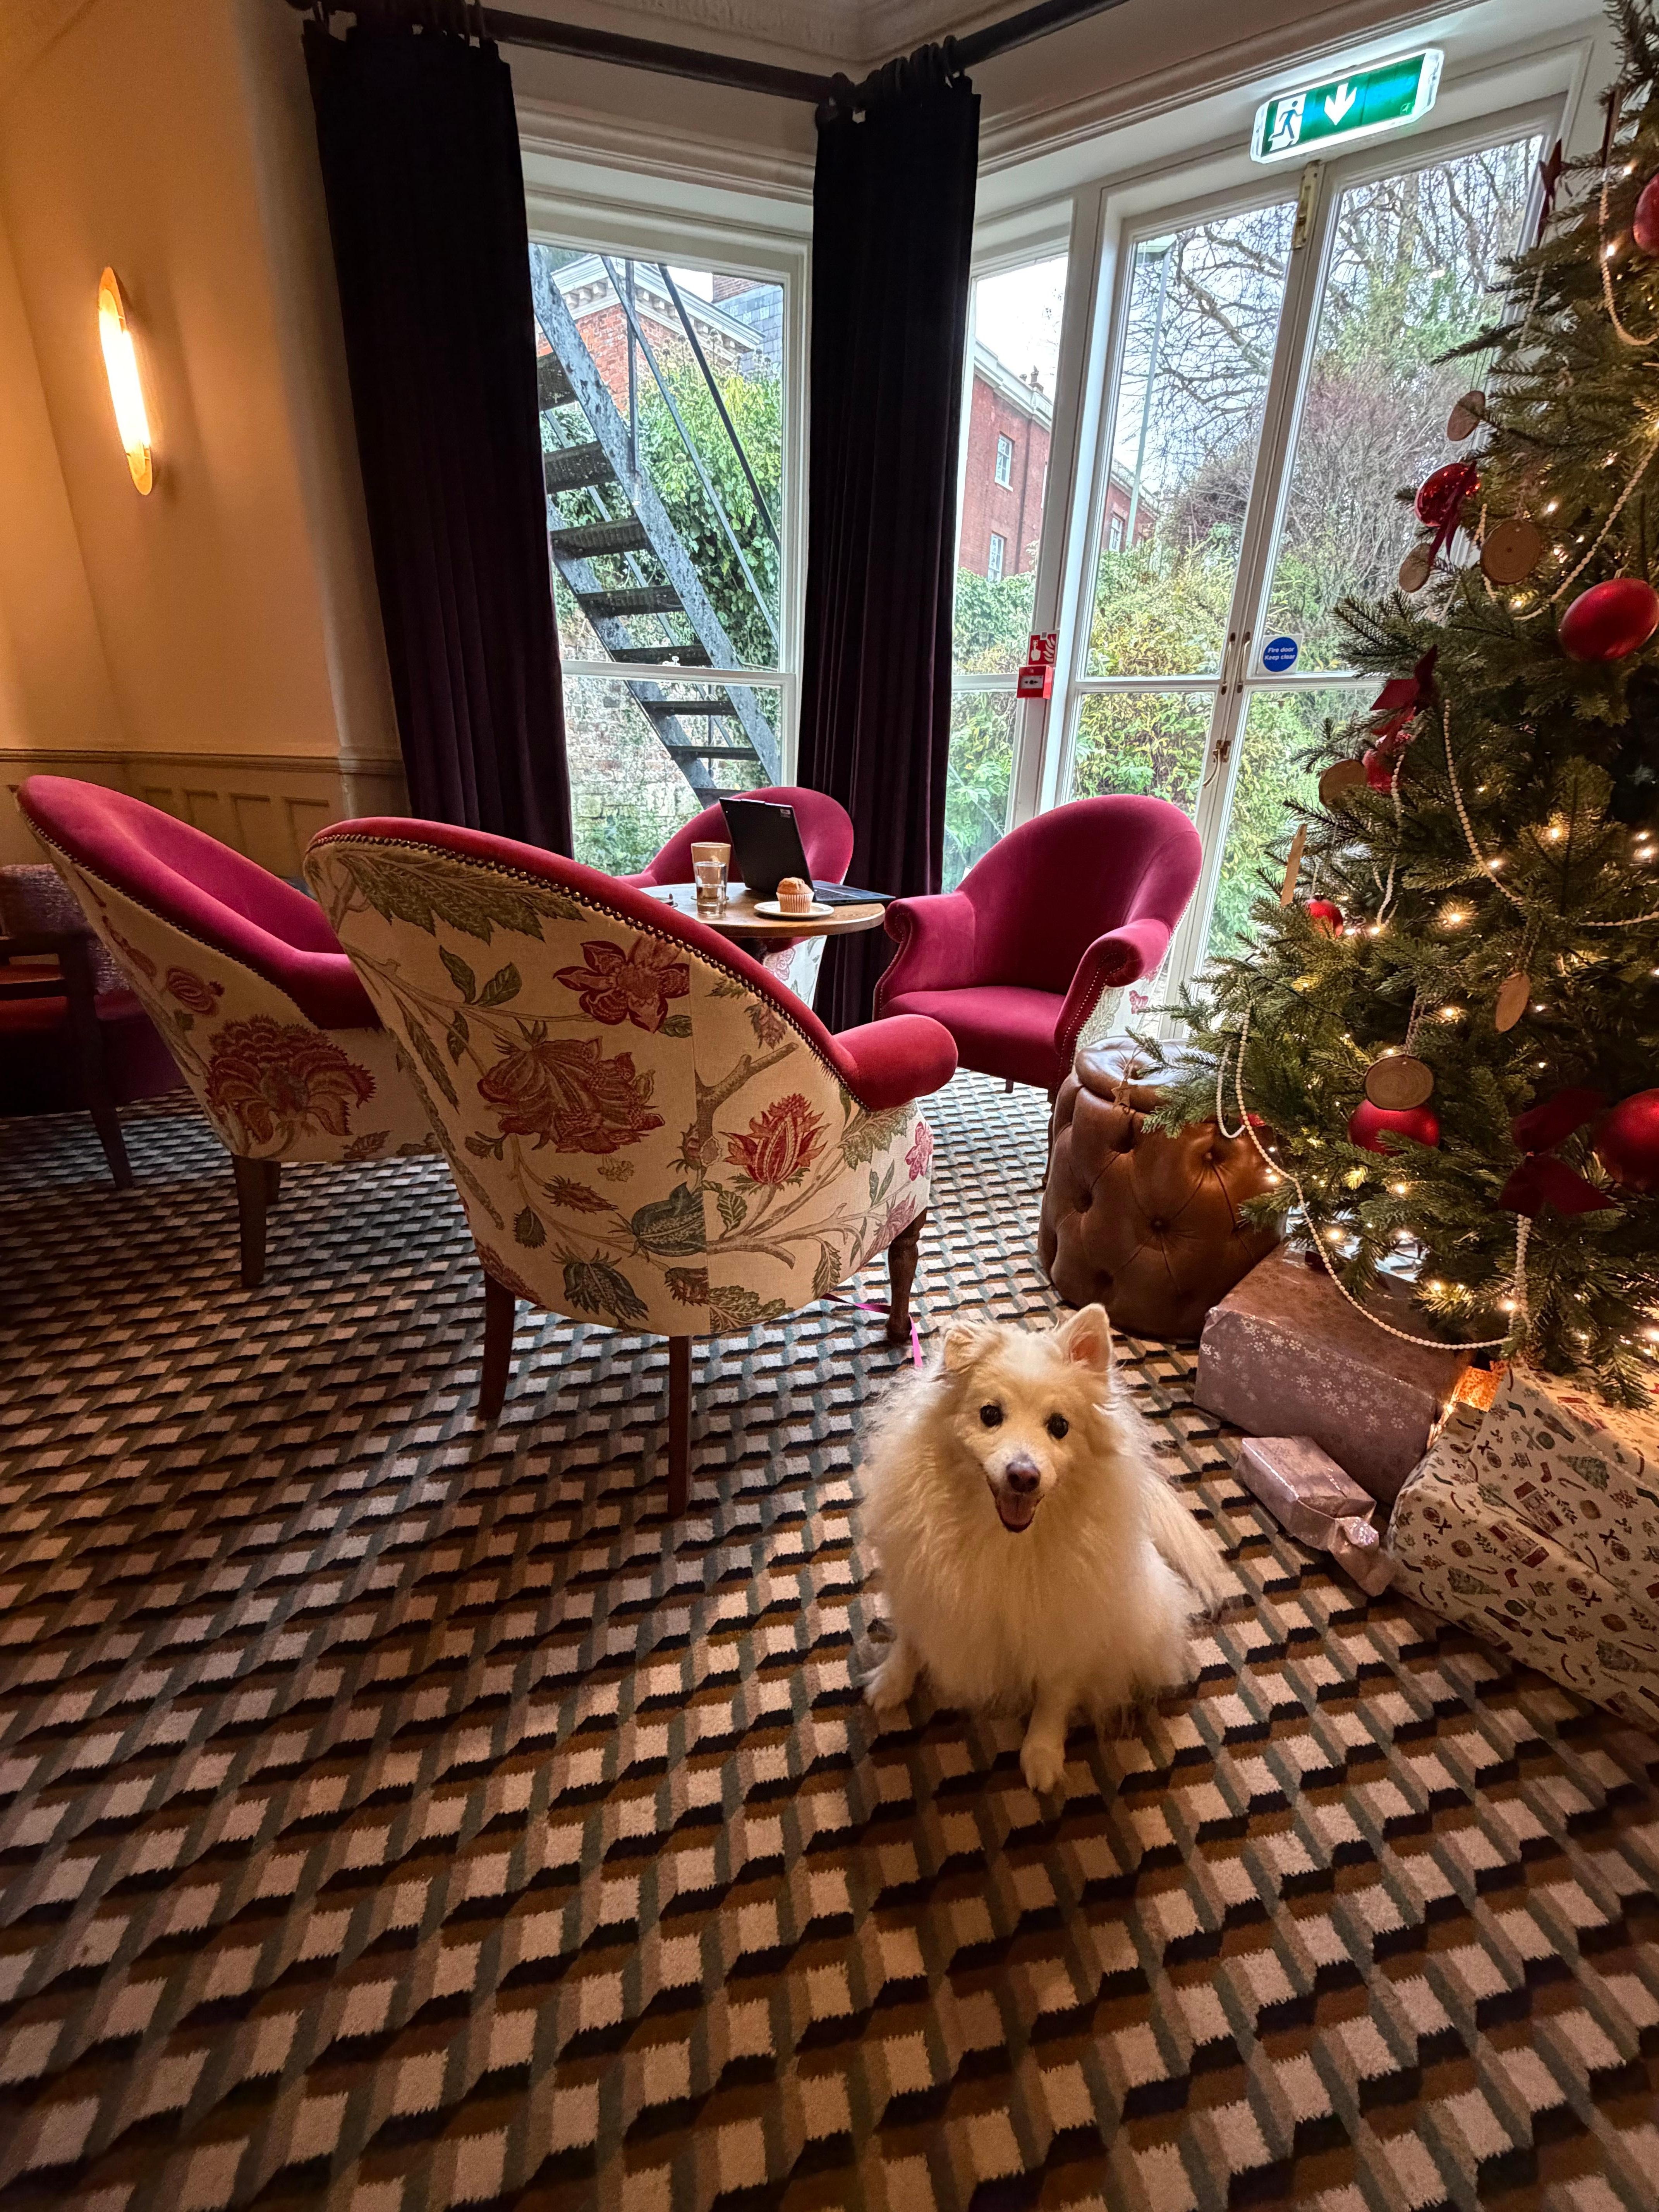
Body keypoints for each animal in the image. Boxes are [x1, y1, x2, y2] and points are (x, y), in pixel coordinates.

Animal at [859, 1303, 1232, 1792]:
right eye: (990, 1415)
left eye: (1059, 1427)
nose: (1023, 1475)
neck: (1005, 1541)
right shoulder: (921, 1588)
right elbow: (910, 1641)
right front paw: (890, 1685)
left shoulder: (1067, 1624)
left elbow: (1055, 1695)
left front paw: (1042, 1755)